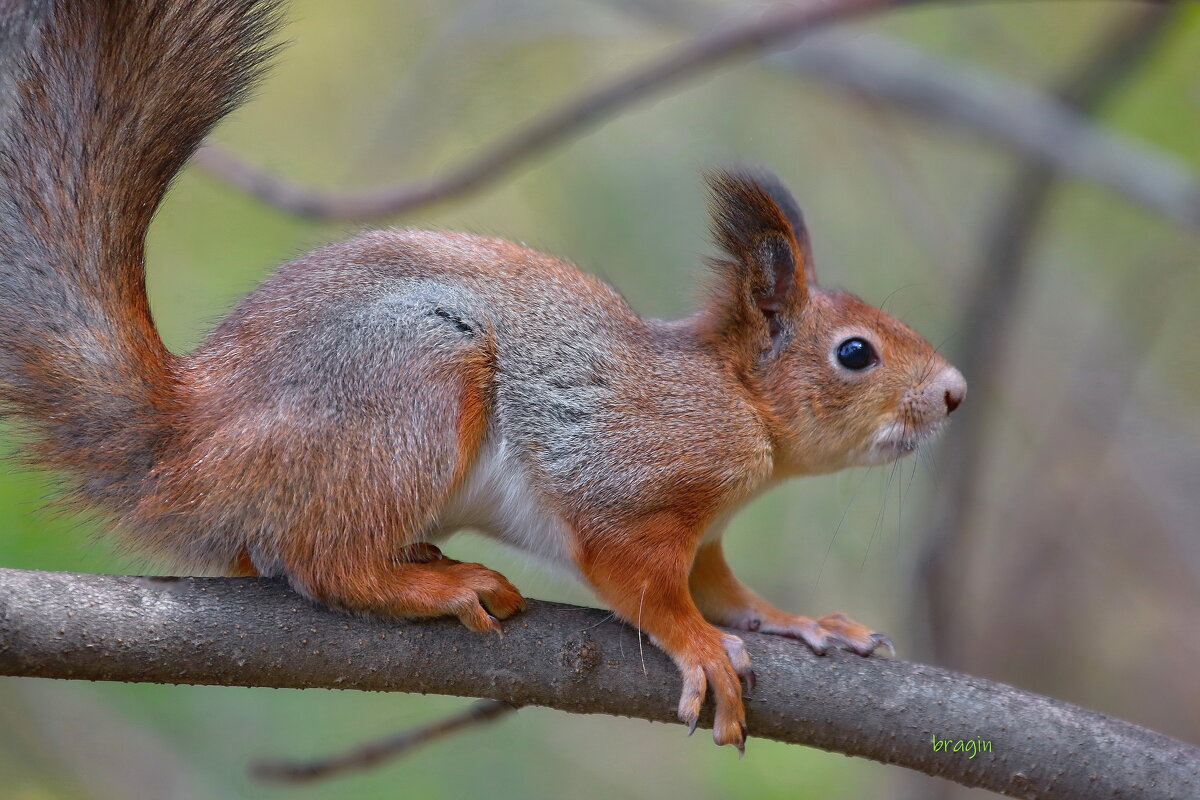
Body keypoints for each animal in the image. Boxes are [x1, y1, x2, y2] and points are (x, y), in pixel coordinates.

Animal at [0, 1, 960, 753]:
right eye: (855, 353)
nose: (954, 393)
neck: (741, 402)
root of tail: (188, 444)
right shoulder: (632, 476)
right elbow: (644, 582)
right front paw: (699, 648)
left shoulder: (710, 534)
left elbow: (727, 590)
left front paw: (806, 623)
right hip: (411, 389)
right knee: (320, 564)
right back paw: (437, 583)